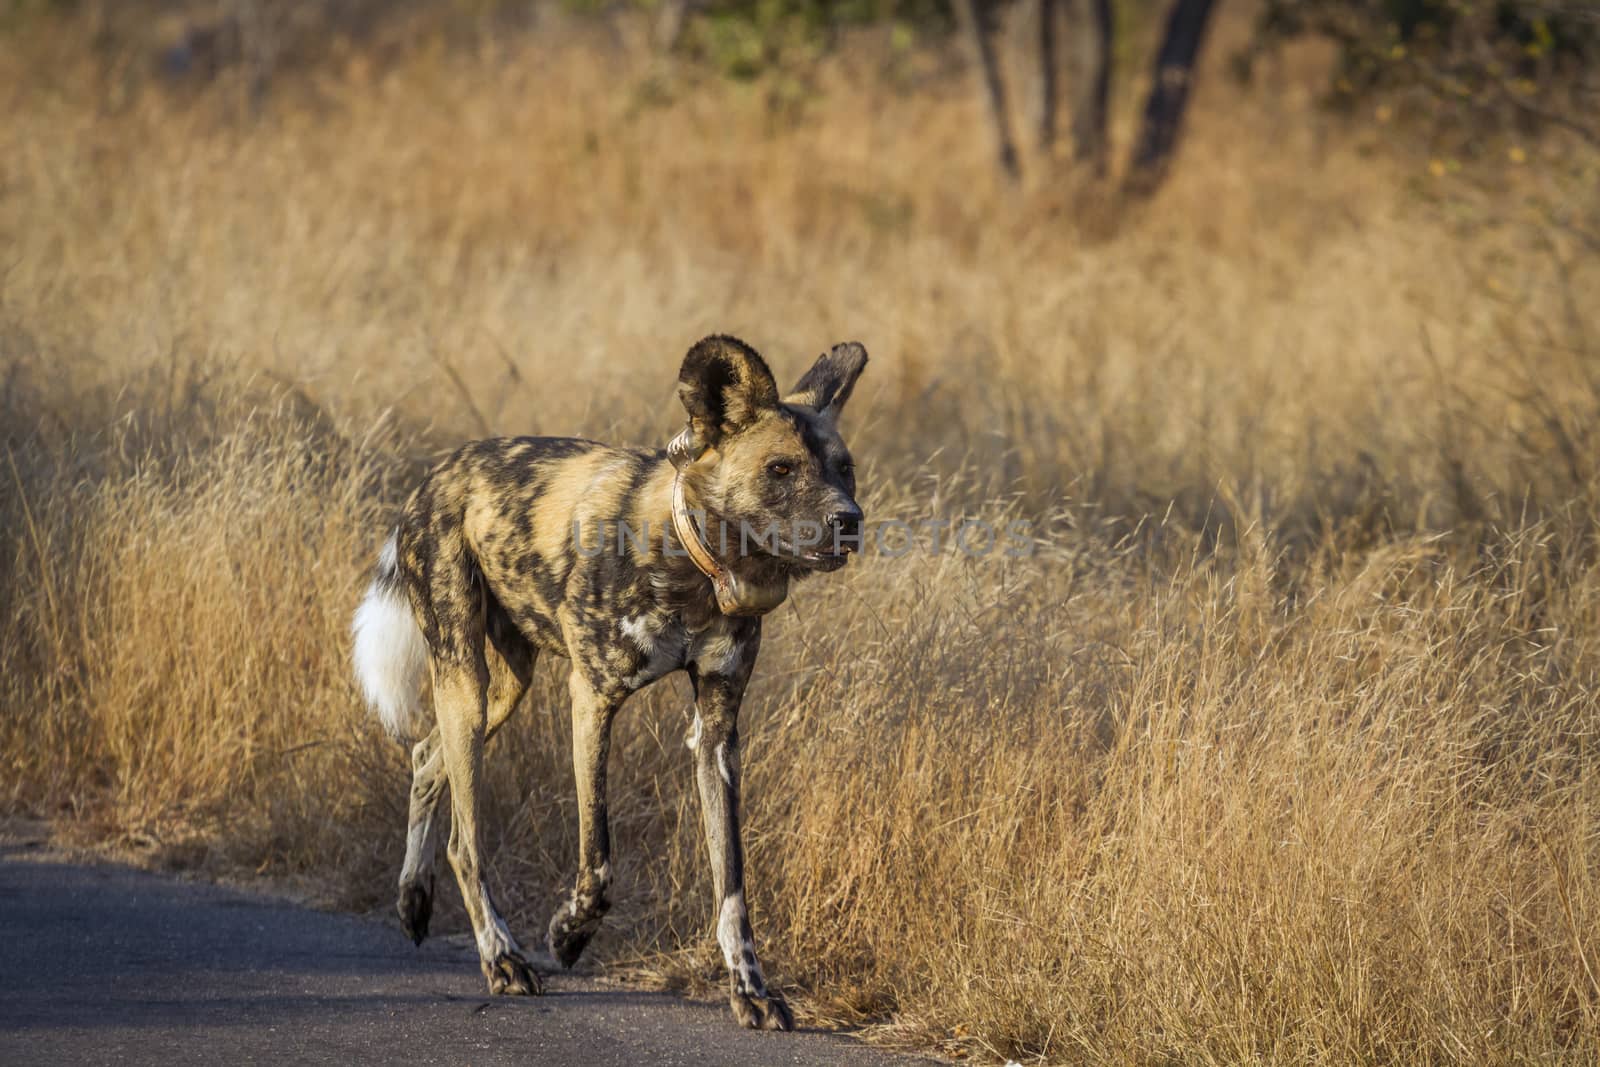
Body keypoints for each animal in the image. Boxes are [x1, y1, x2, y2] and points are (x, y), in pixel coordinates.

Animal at [352, 337, 870, 1030]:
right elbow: (597, 860)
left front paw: (751, 989)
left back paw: (414, 899)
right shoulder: (592, 698)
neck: (695, 567)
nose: (850, 519)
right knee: (465, 840)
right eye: (781, 469)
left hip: (502, 690)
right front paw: (568, 936)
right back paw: (502, 958)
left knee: (427, 755)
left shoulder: (717, 733)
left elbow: (732, 883)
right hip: (464, 678)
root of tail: (436, 475)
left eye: (844, 470)